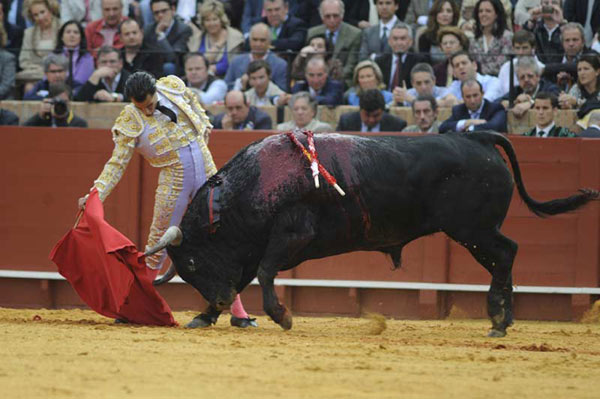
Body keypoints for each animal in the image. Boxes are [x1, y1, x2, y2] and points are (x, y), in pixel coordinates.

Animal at [149, 131, 596, 338]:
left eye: (192, 261)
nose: (219, 301)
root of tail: (477, 136)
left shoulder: (291, 234)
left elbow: (264, 272)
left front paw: (282, 315)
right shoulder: (251, 249)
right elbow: (249, 274)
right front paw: (205, 317)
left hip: (474, 230)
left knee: (506, 253)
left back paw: (498, 320)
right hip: (476, 231)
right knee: (507, 254)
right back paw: (507, 317)